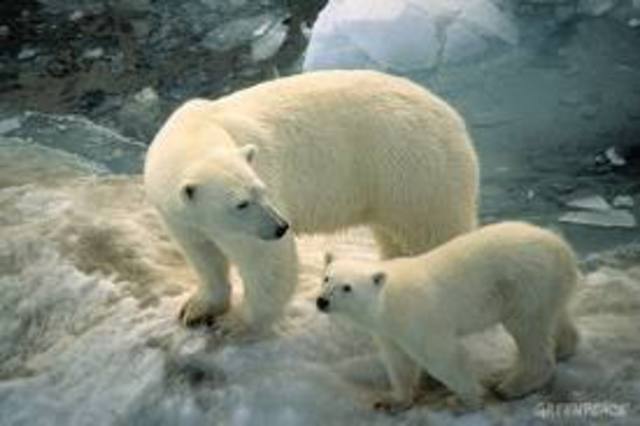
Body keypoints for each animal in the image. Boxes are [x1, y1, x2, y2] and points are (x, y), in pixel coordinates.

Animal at [144, 70, 479, 331]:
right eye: (241, 203)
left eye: (261, 190)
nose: (281, 227)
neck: (196, 131)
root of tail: (454, 118)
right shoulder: (177, 214)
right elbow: (201, 253)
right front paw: (196, 308)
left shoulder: (256, 208)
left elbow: (266, 261)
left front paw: (235, 322)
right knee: (394, 235)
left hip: (413, 169)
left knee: (435, 230)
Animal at [317, 221, 579, 411]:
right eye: (327, 278)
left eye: (347, 287)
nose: (322, 301)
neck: (390, 301)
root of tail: (562, 247)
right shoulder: (390, 331)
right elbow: (399, 362)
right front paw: (394, 401)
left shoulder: (420, 319)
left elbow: (444, 358)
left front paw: (465, 401)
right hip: (546, 287)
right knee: (553, 318)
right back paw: (563, 349)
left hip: (525, 285)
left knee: (529, 330)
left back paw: (511, 386)